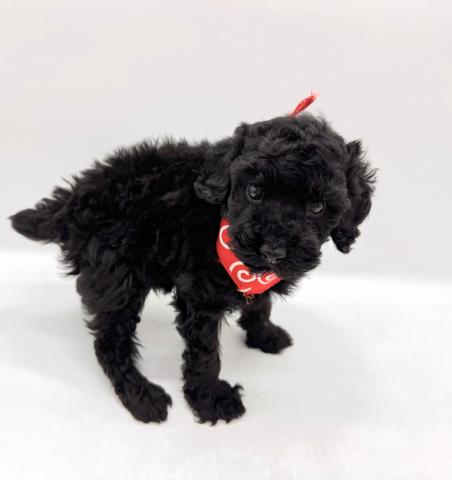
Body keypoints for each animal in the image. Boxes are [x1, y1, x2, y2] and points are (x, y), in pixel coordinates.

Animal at [10, 101, 376, 424]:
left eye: (317, 207)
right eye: (254, 192)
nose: (273, 249)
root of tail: (74, 198)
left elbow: (260, 302)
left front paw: (264, 334)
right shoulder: (200, 296)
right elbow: (205, 354)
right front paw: (211, 400)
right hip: (117, 276)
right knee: (110, 342)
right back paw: (142, 397)